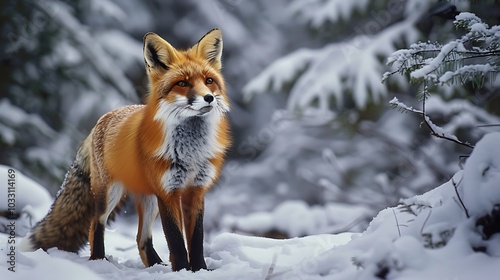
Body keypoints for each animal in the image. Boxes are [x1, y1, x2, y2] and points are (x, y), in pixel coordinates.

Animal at [20, 28, 230, 272]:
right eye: (183, 84)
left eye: (209, 81)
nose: (209, 98)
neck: (191, 152)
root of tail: (103, 118)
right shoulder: (168, 192)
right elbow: (176, 240)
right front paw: (183, 271)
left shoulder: (195, 190)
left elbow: (196, 240)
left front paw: (200, 270)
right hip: (110, 193)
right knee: (96, 223)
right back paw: (99, 261)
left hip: (149, 200)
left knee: (141, 238)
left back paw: (155, 266)